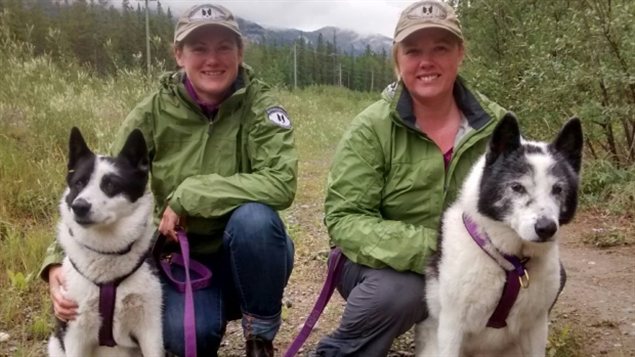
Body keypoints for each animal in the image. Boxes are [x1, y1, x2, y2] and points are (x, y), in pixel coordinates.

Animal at [418, 114, 588, 356]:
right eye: (517, 187)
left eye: (557, 189)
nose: (546, 228)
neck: (511, 263)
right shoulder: (452, 327)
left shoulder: (537, 327)